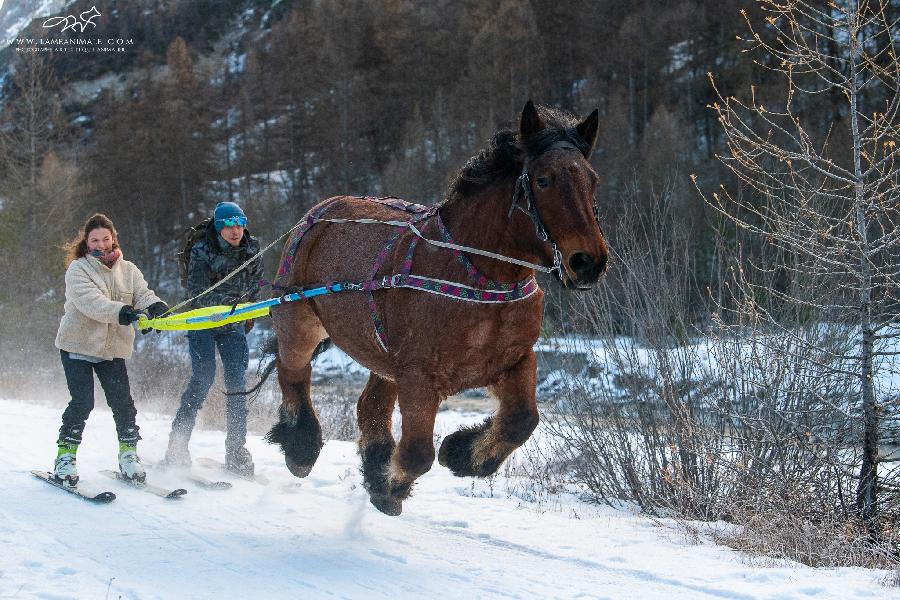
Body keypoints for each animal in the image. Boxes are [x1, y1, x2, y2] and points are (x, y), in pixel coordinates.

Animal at [266, 103, 604, 516]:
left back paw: (373, 457)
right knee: (293, 373)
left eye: (592, 180)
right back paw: (301, 447)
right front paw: (388, 487)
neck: (477, 277)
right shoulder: (418, 377)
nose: (588, 262)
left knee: (369, 406)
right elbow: (416, 454)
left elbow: (521, 420)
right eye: (543, 180)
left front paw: (461, 455)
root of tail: (319, 212)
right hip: (299, 320)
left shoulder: (514, 360)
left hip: (382, 357)